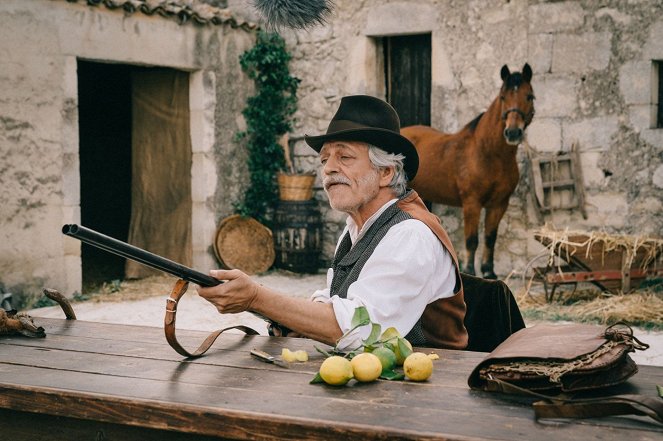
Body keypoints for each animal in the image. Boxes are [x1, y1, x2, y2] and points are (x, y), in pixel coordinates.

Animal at [402, 63, 536, 276]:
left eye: (529, 96)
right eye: (502, 97)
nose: (513, 132)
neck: (489, 154)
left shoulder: (499, 204)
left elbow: (490, 237)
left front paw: (488, 271)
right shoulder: (472, 203)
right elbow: (472, 240)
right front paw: (470, 270)